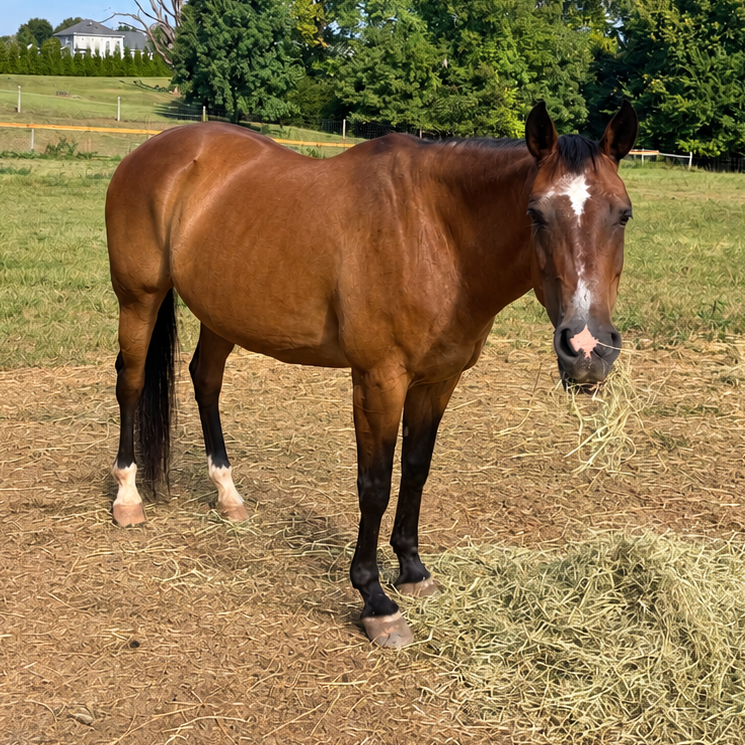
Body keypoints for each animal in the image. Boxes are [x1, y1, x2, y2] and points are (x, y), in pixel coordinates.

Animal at [105, 101, 638, 647]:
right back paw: (127, 496)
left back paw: (227, 494)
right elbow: (375, 484)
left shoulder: (438, 381)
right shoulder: (379, 379)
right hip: (139, 298)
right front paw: (375, 600)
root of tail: (156, 149)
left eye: (623, 214)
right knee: (132, 382)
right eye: (535, 213)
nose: (587, 348)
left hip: (221, 313)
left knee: (206, 379)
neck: (435, 233)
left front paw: (413, 571)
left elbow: (416, 469)